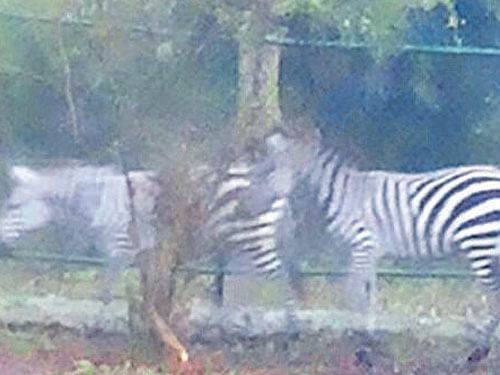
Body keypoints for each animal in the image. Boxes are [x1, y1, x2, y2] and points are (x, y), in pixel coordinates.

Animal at [270, 131, 500, 366]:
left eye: (297, 166)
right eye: (274, 165)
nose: (277, 195)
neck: (346, 197)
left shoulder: (362, 246)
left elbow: (355, 295)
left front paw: (362, 348)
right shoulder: (369, 253)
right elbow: (369, 295)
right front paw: (371, 339)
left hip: (479, 242)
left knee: (495, 296)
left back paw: (479, 351)